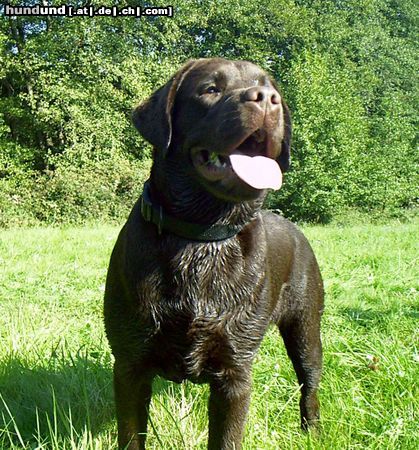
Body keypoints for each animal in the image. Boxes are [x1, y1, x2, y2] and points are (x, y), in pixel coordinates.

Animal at [104, 58, 324, 448]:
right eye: (210, 89)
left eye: (274, 92)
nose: (266, 99)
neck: (202, 238)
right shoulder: (129, 364)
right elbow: (131, 436)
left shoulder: (235, 374)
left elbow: (226, 438)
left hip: (305, 329)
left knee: (309, 384)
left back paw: (311, 431)